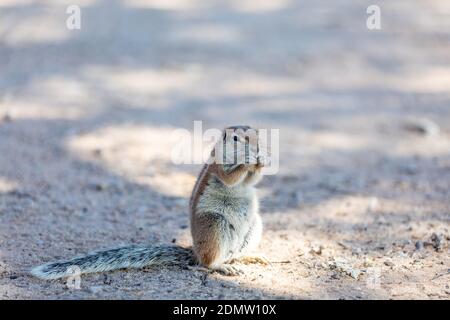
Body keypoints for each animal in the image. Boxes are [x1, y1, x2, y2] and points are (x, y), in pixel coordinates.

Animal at [34, 125, 268, 280]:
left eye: (257, 135)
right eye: (236, 138)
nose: (257, 148)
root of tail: (194, 250)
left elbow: (253, 180)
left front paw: (262, 160)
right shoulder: (219, 167)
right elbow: (231, 178)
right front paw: (248, 162)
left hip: (254, 227)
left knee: (232, 254)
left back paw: (249, 258)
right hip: (215, 225)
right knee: (207, 262)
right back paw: (222, 268)